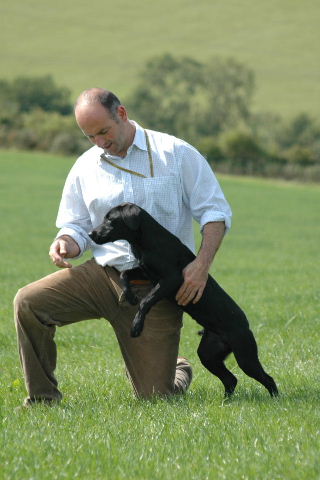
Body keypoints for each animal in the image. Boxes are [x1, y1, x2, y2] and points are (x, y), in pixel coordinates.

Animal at [89, 202, 278, 398]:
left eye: (110, 220)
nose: (91, 234)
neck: (147, 242)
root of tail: (246, 325)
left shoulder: (171, 279)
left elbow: (146, 301)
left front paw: (136, 326)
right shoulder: (145, 272)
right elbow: (124, 275)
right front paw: (130, 296)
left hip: (245, 356)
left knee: (267, 378)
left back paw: (275, 398)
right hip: (209, 354)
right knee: (231, 379)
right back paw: (226, 401)